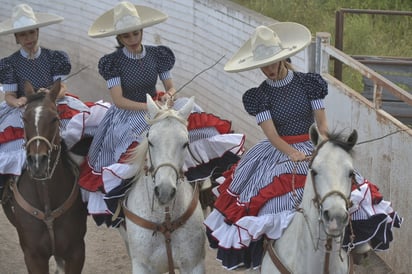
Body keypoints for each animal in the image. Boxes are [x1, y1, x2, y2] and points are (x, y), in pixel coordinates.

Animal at [122, 94, 206, 274]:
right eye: (150, 141)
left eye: (185, 143)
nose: (164, 191)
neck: (165, 221)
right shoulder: (141, 266)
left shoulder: (194, 265)